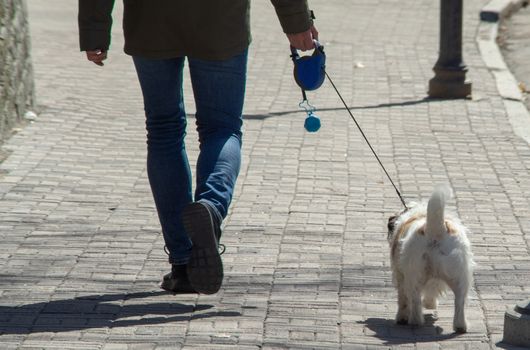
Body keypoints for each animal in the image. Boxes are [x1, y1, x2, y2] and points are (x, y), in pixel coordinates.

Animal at [386, 185, 472, 332]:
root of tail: (436, 230)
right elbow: (433, 289)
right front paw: (430, 304)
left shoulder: (400, 275)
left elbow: (403, 300)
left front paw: (402, 317)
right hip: (460, 277)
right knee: (460, 303)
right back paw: (460, 326)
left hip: (413, 276)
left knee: (414, 302)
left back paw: (414, 321)